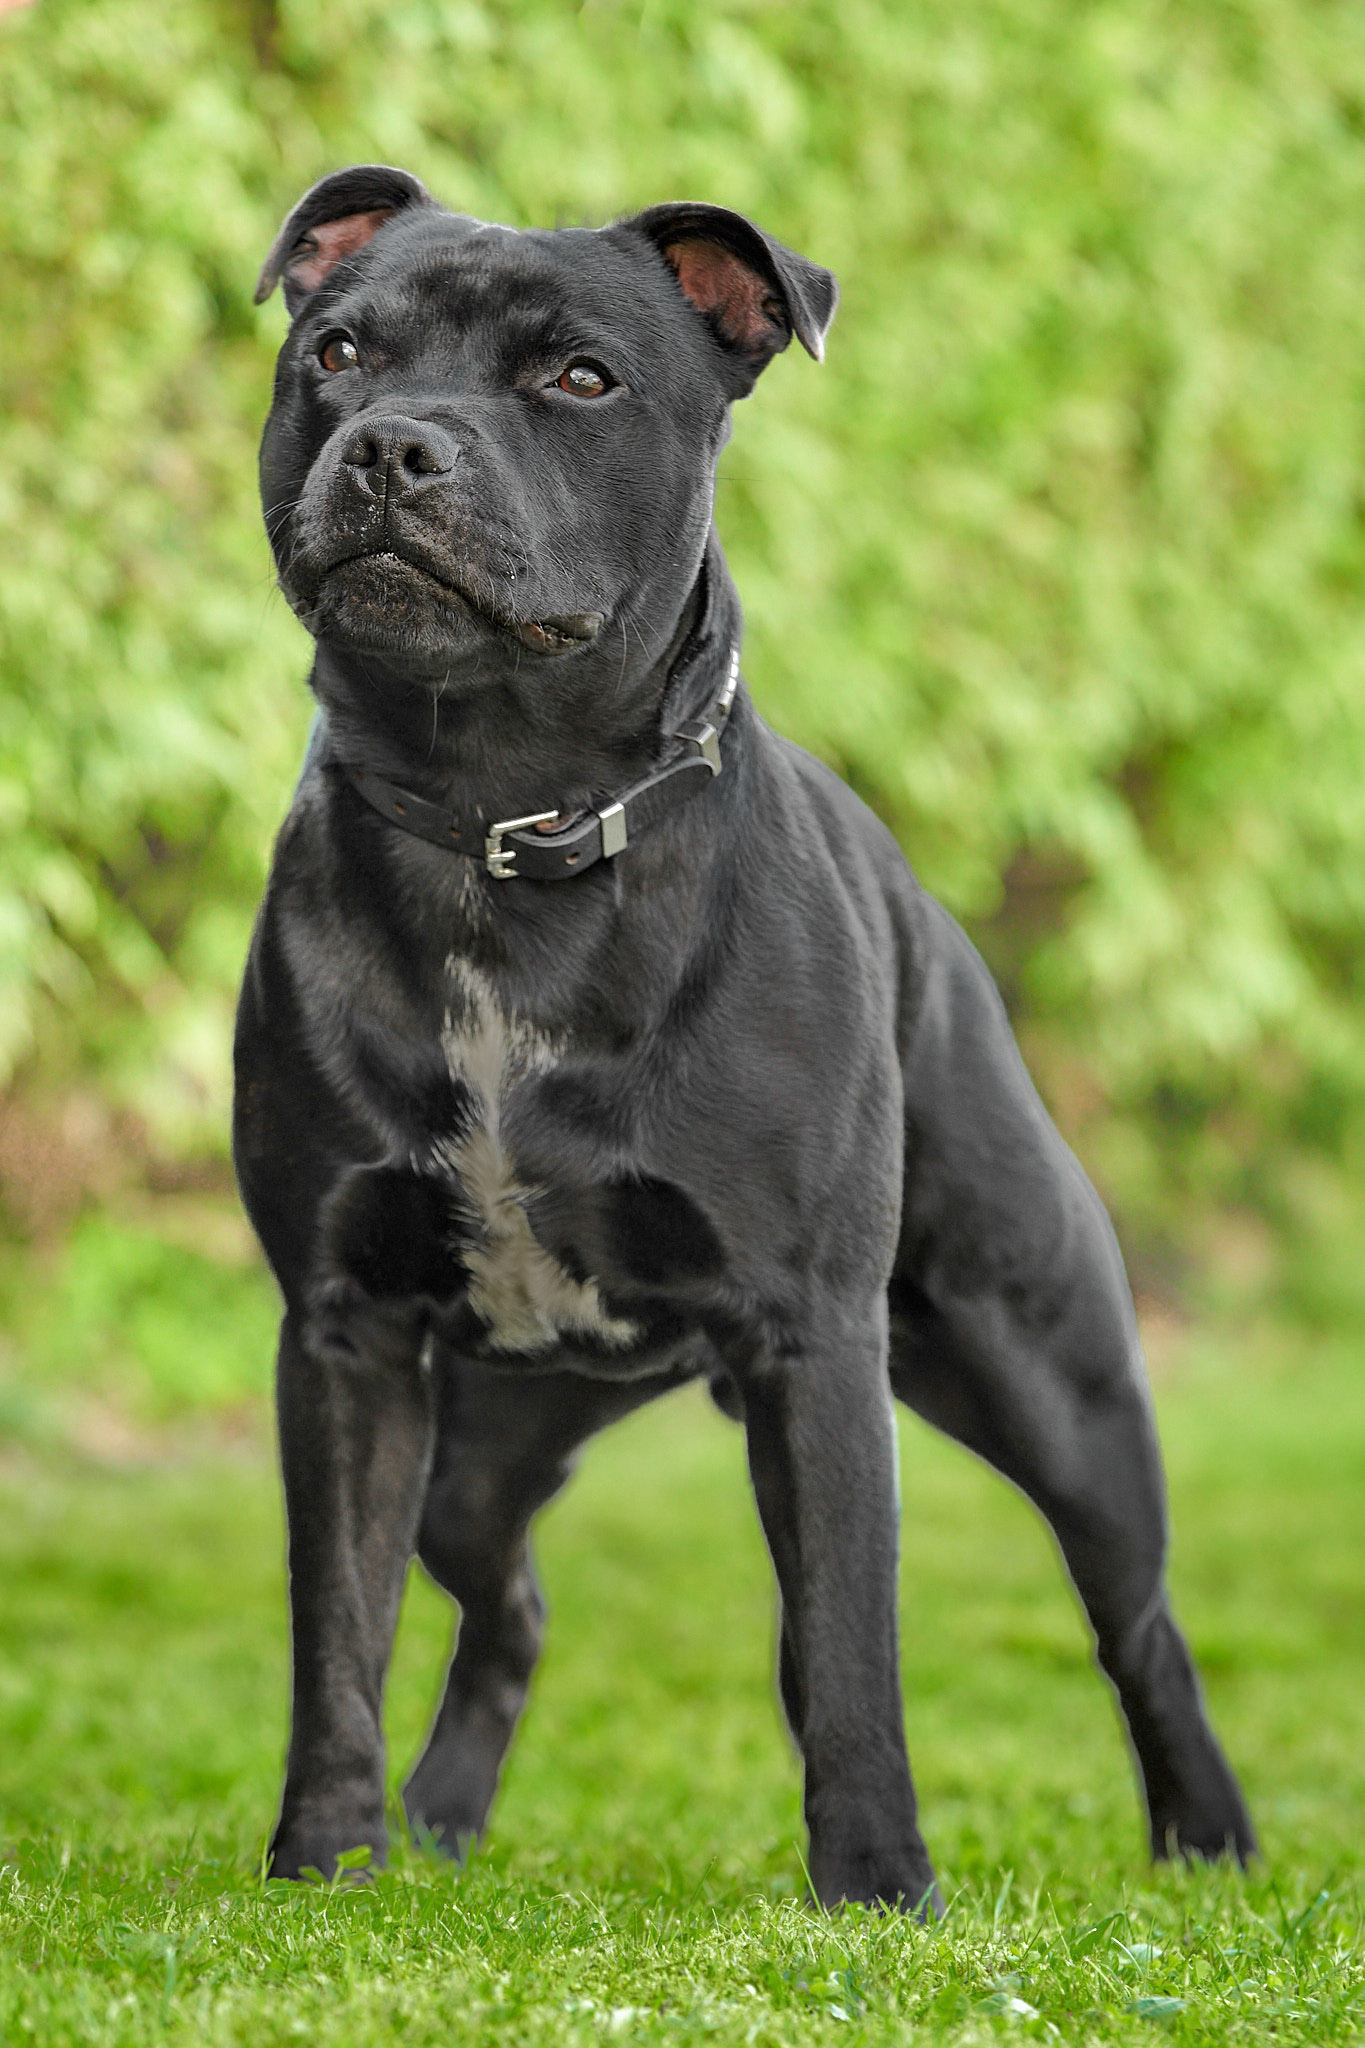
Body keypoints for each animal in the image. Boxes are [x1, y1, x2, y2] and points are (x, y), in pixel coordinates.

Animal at [236, 164, 1255, 1910]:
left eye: (580, 378)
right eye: (340, 353)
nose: (393, 446)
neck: (502, 819)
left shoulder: (812, 1342)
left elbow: (843, 1642)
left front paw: (878, 1886)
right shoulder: (347, 1336)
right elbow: (334, 1632)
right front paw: (326, 1860)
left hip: (1054, 1379)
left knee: (1138, 1624)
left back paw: (1210, 1838)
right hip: (482, 1449)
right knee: (506, 1603)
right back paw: (438, 1821)